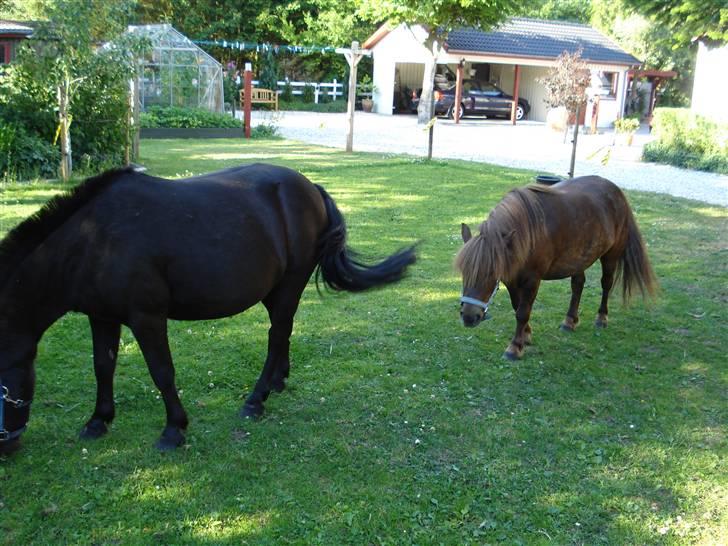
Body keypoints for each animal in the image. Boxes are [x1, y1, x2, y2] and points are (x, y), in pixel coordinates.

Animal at [0, 164, 416, 452]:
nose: (9, 445)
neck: (94, 239)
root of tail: (310, 187)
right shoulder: (101, 316)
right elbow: (103, 367)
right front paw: (98, 421)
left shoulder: (147, 318)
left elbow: (162, 372)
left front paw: (174, 430)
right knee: (283, 333)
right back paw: (278, 382)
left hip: (288, 286)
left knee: (276, 335)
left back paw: (255, 401)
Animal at [456, 176, 656, 360]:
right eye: (463, 272)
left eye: (491, 273)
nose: (469, 317)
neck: (528, 233)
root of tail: (616, 190)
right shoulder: (511, 278)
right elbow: (516, 306)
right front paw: (526, 335)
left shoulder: (532, 279)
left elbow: (522, 312)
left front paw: (515, 347)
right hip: (579, 258)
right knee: (578, 285)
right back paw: (570, 321)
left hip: (611, 255)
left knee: (606, 284)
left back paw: (601, 318)